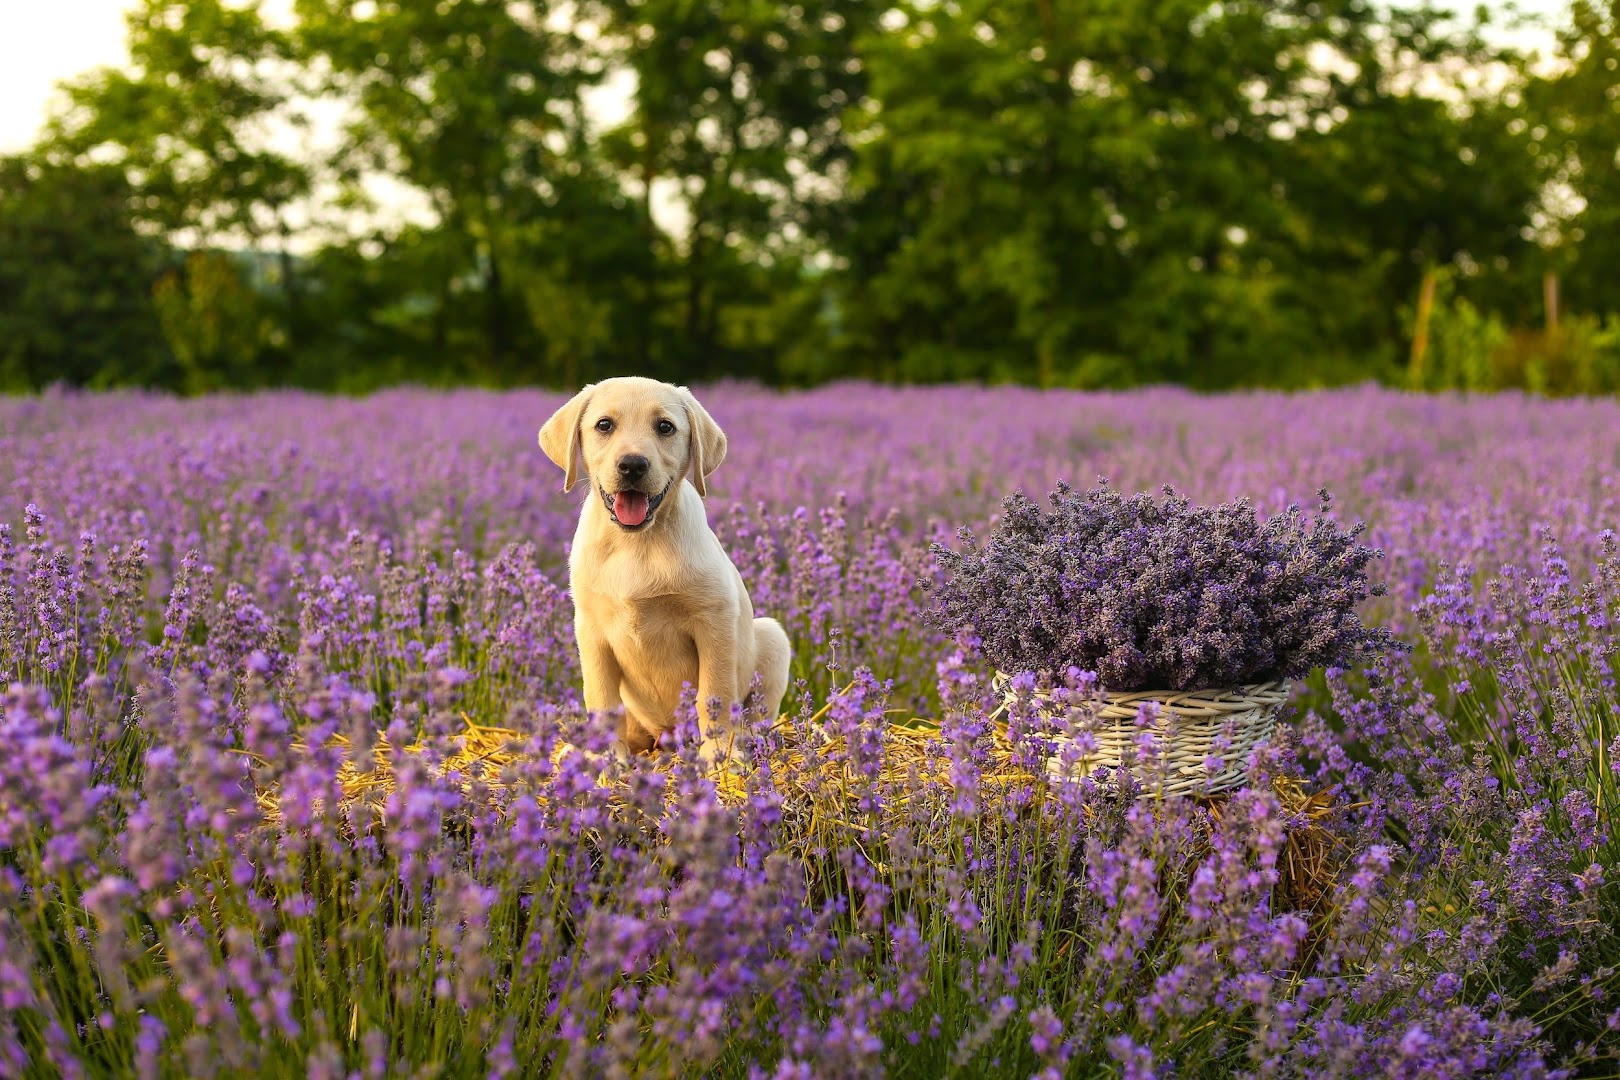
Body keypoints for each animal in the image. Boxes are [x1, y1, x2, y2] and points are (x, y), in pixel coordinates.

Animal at [537, 378, 790, 761]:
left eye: (665, 427)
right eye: (604, 425)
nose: (632, 465)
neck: (637, 543)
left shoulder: (714, 620)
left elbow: (713, 694)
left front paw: (719, 756)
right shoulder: (591, 629)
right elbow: (601, 700)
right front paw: (601, 760)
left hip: (773, 637)